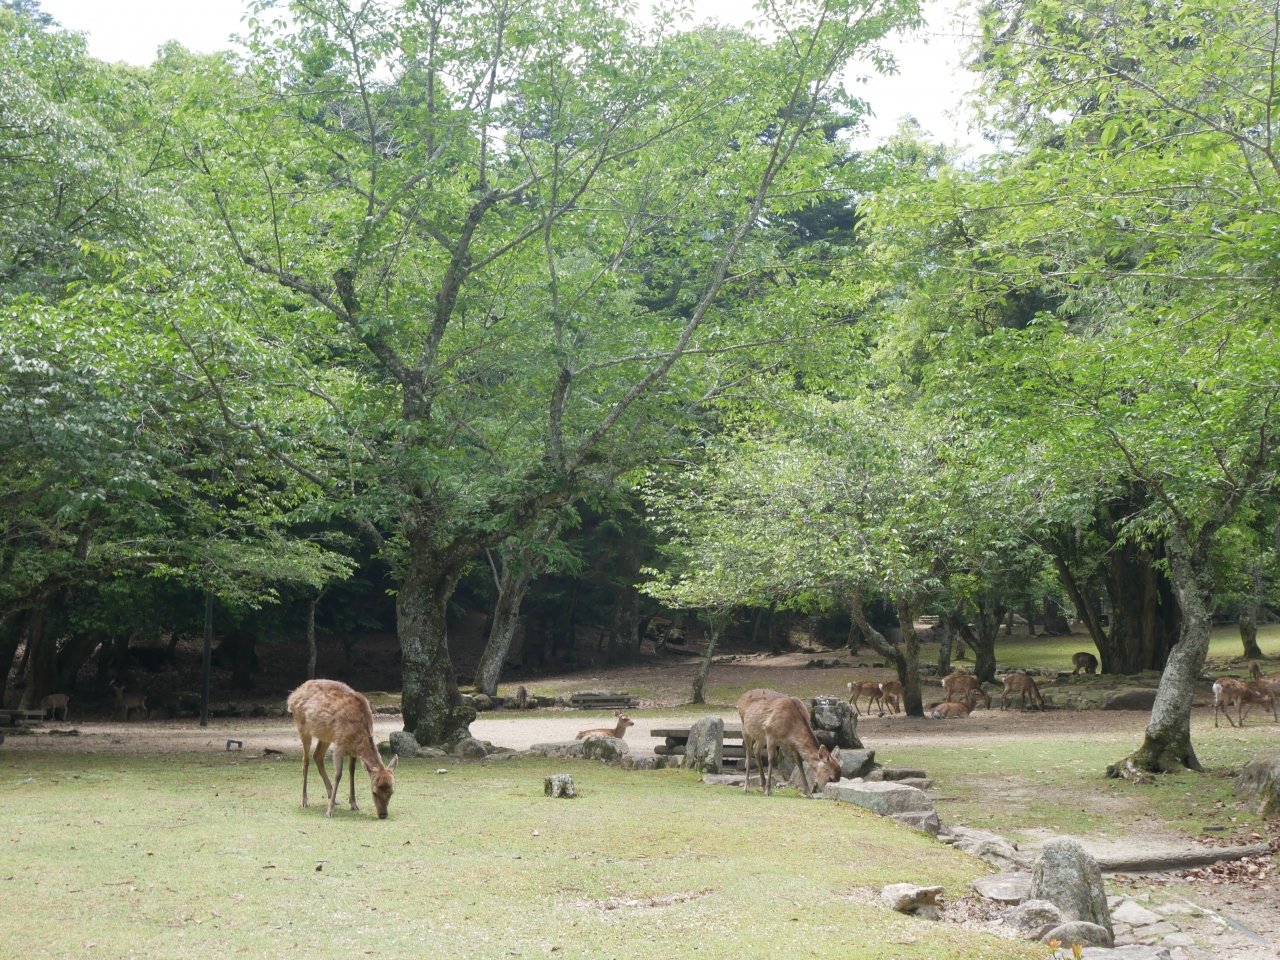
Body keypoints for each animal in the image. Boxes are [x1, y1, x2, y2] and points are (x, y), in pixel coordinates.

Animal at [287, 679, 398, 818]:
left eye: (392, 792)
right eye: (374, 792)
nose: (383, 814)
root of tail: (292, 697)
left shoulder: (353, 749)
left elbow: (352, 771)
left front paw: (354, 804)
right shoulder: (339, 742)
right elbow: (338, 774)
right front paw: (329, 811)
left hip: (326, 735)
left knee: (317, 756)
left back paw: (333, 797)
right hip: (302, 727)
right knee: (305, 760)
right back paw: (304, 801)